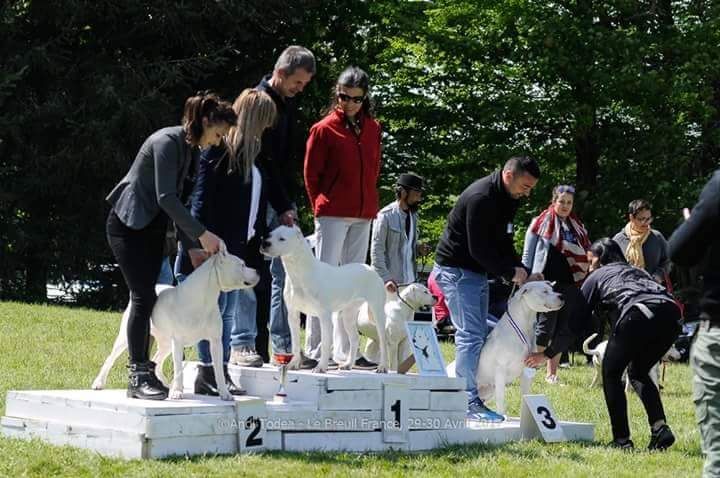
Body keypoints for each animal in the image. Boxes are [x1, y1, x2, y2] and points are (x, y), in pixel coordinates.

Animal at [90, 252, 258, 402]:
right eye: (242, 265)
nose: (257, 271)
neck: (204, 298)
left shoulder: (216, 342)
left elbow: (218, 370)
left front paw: (224, 393)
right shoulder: (178, 342)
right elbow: (178, 368)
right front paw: (177, 392)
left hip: (166, 343)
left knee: (157, 361)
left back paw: (165, 384)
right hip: (126, 338)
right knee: (111, 358)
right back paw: (98, 382)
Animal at [260, 226, 388, 376]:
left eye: (282, 239)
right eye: (270, 235)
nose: (264, 243)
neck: (298, 272)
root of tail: (370, 269)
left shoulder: (324, 316)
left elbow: (326, 344)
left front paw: (321, 367)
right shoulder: (292, 315)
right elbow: (295, 343)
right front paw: (293, 364)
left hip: (377, 312)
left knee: (383, 340)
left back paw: (382, 367)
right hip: (348, 314)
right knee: (355, 338)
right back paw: (348, 365)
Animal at [476, 280, 564, 414]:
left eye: (552, 289)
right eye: (544, 291)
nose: (562, 296)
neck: (524, 326)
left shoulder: (526, 372)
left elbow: (525, 396)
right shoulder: (500, 370)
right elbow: (501, 399)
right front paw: (503, 416)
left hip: (489, 389)